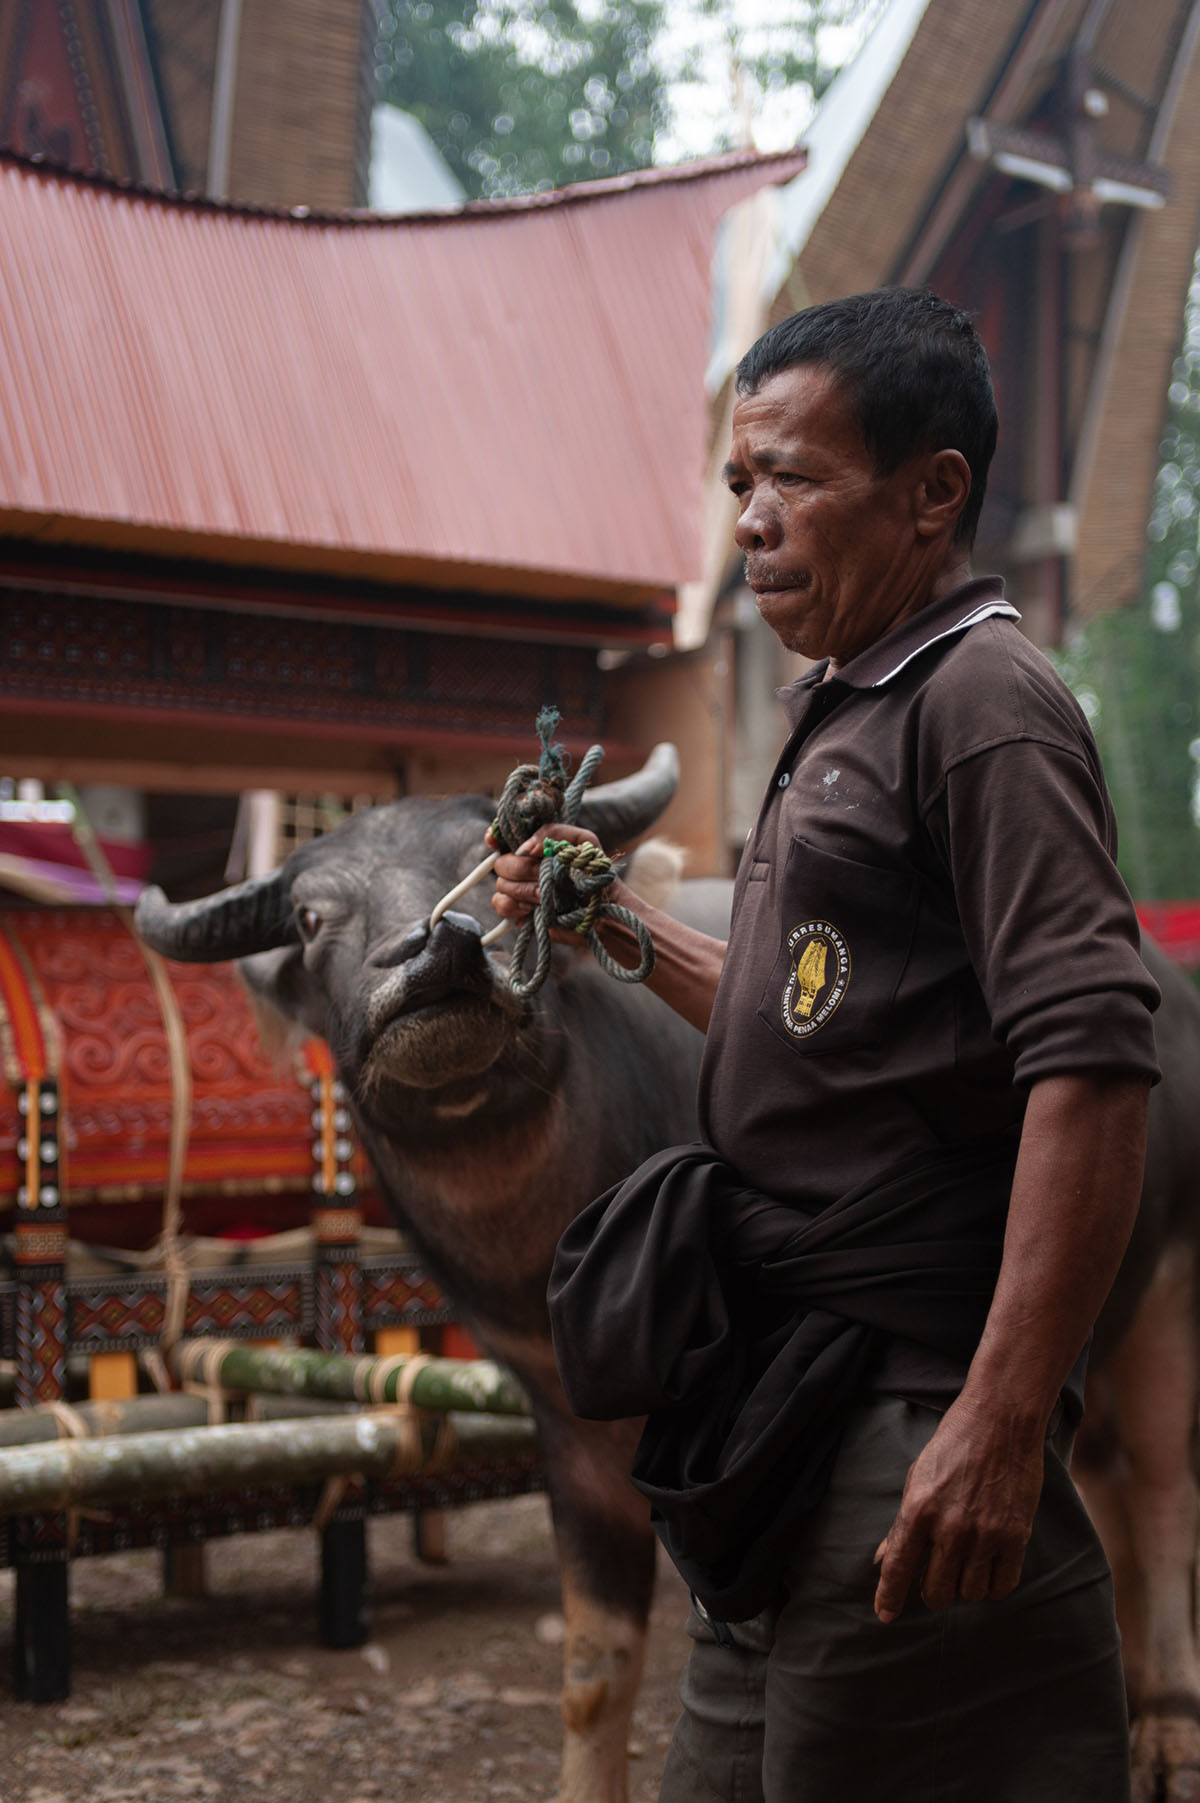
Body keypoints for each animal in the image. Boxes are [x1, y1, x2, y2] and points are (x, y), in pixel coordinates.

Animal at [135, 739, 1196, 1795]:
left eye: (481, 866)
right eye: (311, 918)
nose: (438, 949)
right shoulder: (566, 1429)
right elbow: (594, 1667)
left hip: (1163, 1293)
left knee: (1160, 1489)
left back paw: (1168, 1730)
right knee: (1102, 1481)